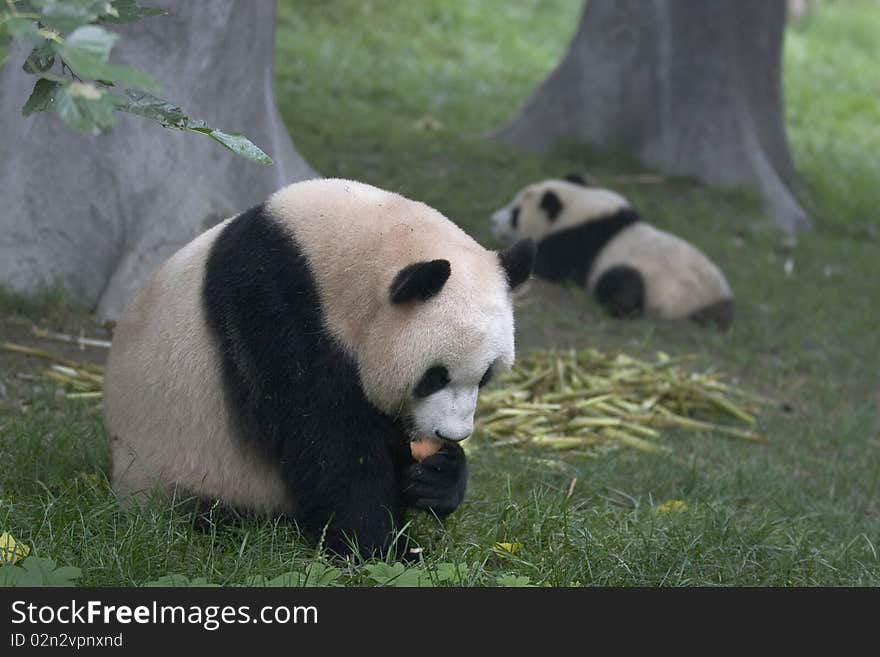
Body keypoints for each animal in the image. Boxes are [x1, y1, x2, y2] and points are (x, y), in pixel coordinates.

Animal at [105, 178, 532, 552]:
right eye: (433, 378)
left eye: (485, 376)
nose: (452, 434)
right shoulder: (276, 310)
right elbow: (328, 440)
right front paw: (379, 548)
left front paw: (439, 477)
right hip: (178, 467)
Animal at [492, 176, 732, 328]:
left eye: (515, 213)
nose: (493, 220)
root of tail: (692, 306)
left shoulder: (577, 239)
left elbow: (550, 263)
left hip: (652, 283)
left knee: (621, 284)